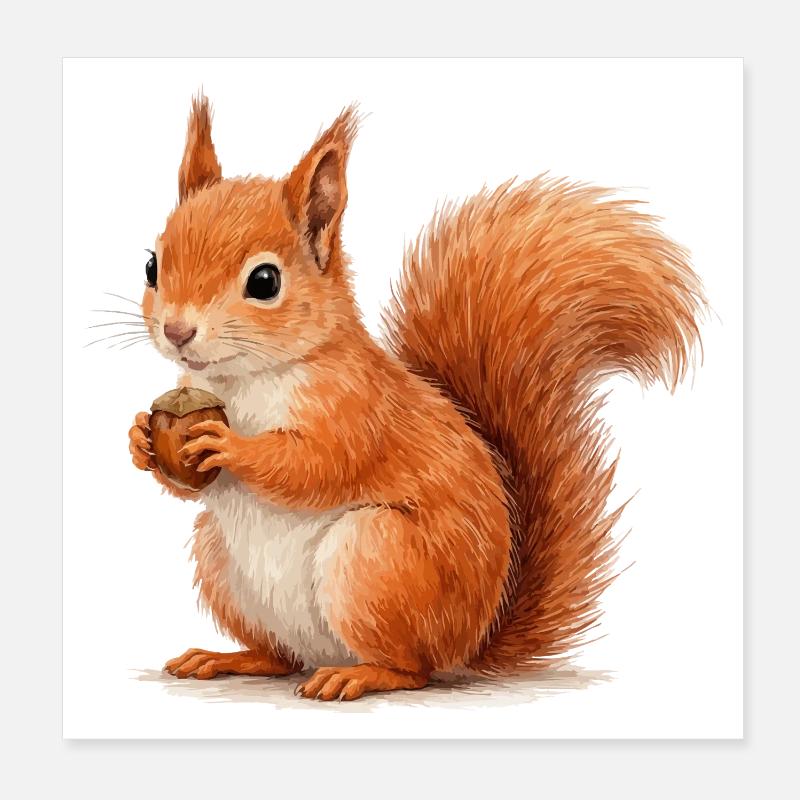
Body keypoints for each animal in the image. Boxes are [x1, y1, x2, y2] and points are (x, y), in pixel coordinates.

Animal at [128, 95, 705, 701]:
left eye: (265, 281)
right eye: (152, 265)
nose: (177, 331)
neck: (242, 380)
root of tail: (469, 644)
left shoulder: (358, 407)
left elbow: (316, 465)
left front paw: (229, 445)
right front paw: (141, 438)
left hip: (377, 558)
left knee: (412, 669)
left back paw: (358, 675)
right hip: (220, 562)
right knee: (281, 657)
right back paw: (229, 658)